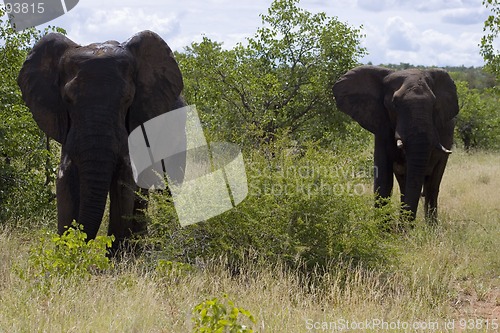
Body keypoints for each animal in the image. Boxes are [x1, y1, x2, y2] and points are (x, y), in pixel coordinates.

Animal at [17, 30, 187, 244]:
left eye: (127, 99)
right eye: (67, 99)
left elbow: (125, 179)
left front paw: (118, 252)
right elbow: (64, 178)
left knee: (168, 185)